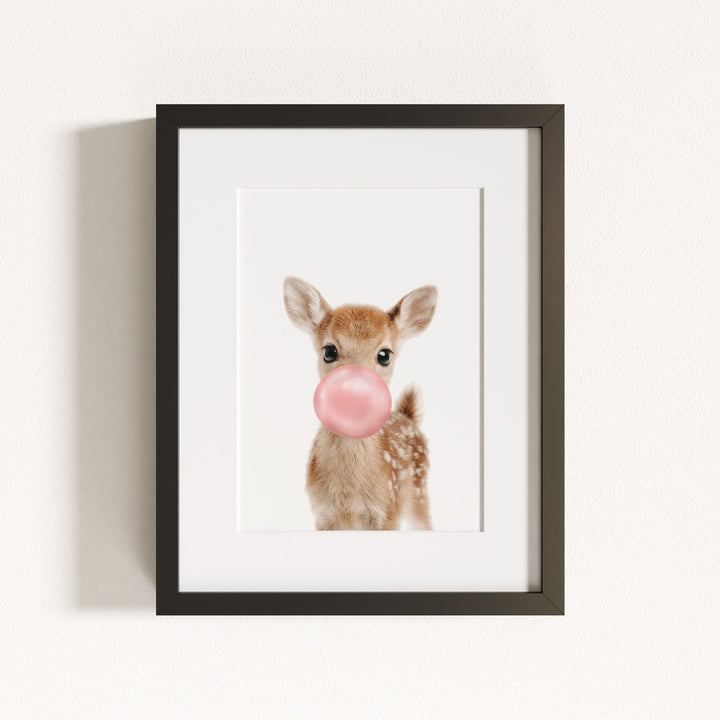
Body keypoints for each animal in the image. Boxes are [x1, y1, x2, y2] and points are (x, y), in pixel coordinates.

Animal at [283, 277, 438, 531]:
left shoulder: (387, 512)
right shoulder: (323, 514)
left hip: (419, 492)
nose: (355, 389)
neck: (348, 496)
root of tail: (407, 416)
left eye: (384, 355)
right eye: (329, 351)